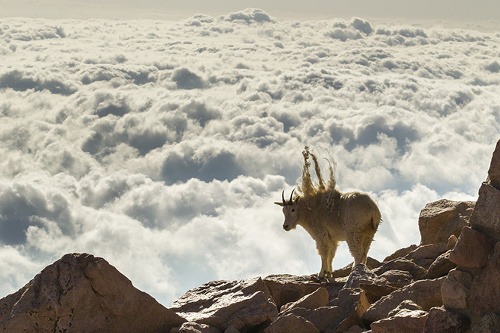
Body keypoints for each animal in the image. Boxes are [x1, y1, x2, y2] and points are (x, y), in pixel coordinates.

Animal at [276, 146, 380, 278]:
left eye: (293, 209)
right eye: (283, 210)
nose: (286, 226)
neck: (310, 210)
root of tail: (373, 210)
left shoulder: (321, 234)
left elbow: (324, 253)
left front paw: (321, 274)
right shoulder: (332, 238)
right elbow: (331, 254)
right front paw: (329, 274)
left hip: (354, 232)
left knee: (357, 253)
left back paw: (353, 272)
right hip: (369, 233)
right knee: (365, 252)